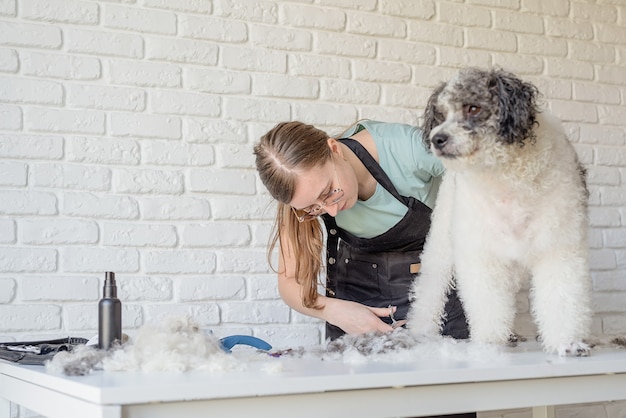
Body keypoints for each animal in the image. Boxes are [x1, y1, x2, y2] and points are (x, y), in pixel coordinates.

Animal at [404, 68, 588, 356]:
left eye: (473, 108)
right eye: (441, 115)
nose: (437, 139)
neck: (506, 178)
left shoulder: (559, 248)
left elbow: (562, 298)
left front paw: (566, 343)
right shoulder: (481, 254)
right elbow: (488, 305)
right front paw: (489, 344)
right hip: (441, 246)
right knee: (429, 292)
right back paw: (421, 331)